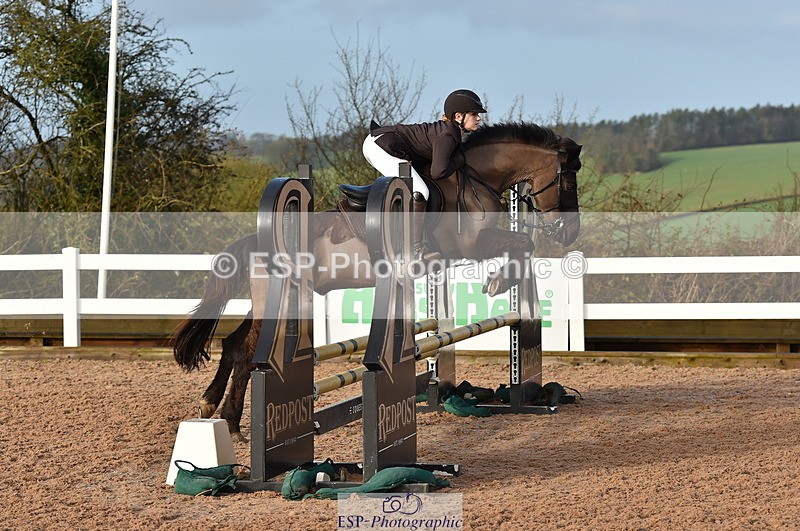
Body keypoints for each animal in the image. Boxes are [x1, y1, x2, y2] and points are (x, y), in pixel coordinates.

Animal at [173, 121, 582, 441]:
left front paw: (499, 283)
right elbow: (523, 243)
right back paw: (229, 420)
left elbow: (523, 245)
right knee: (246, 351)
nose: (570, 233)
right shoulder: (471, 245)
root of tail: (256, 240)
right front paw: (498, 283)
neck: (474, 179)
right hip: (280, 301)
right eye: (568, 182)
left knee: (233, 344)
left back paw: (220, 414)